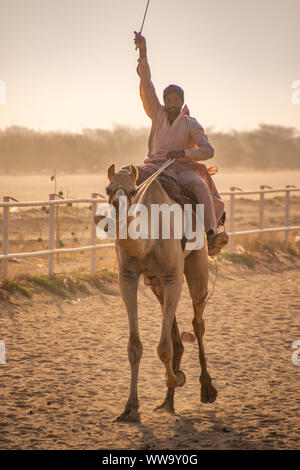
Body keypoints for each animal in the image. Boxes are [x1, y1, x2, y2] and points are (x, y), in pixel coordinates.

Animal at [96, 165, 218, 422]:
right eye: (108, 189)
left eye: (133, 190)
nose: (119, 208)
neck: (148, 239)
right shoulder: (128, 278)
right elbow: (134, 346)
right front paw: (130, 408)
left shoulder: (173, 277)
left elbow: (163, 348)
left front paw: (179, 377)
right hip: (155, 283)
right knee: (173, 326)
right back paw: (167, 402)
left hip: (197, 262)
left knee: (197, 322)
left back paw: (206, 389)